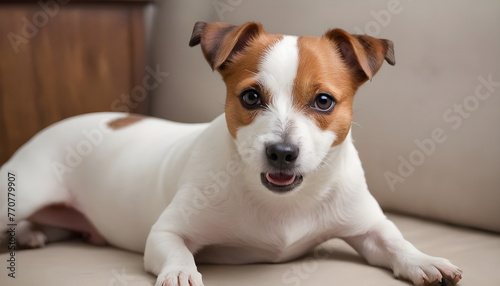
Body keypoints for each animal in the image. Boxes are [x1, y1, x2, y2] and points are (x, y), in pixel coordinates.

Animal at [0, 22, 460, 286]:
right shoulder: (166, 232)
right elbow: (177, 250)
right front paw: (181, 272)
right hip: (26, 192)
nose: (282, 153)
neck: (283, 204)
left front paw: (423, 260)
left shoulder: (367, 228)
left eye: (324, 101)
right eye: (251, 96)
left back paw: (32, 236)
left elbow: (394, 241)